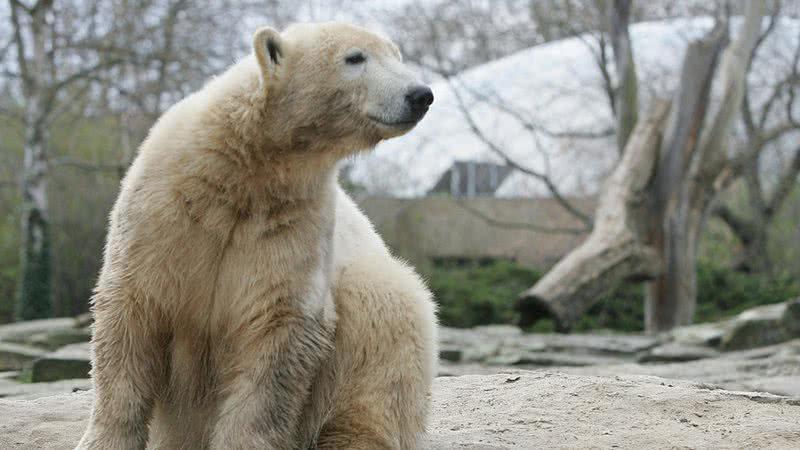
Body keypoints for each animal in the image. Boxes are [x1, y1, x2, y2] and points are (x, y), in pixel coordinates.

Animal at [76, 22, 438, 448]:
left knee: (387, 320)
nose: (420, 94)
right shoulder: (163, 211)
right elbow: (131, 313)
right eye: (355, 57)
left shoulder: (292, 223)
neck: (244, 171)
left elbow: (277, 333)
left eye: (397, 56)